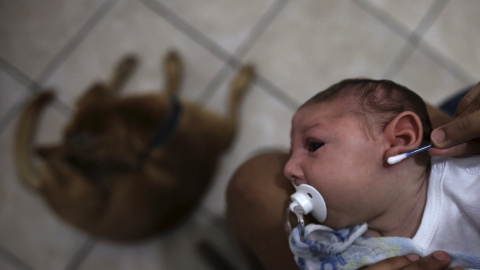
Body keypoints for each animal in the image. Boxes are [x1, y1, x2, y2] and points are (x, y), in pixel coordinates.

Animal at [14, 51, 255, 242]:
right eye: (67, 135)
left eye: (83, 145)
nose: (40, 152)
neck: (162, 128)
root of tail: (43, 190)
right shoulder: (227, 132)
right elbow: (231, 100)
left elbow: (170, 90)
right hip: (91, 191)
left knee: (100, 89)